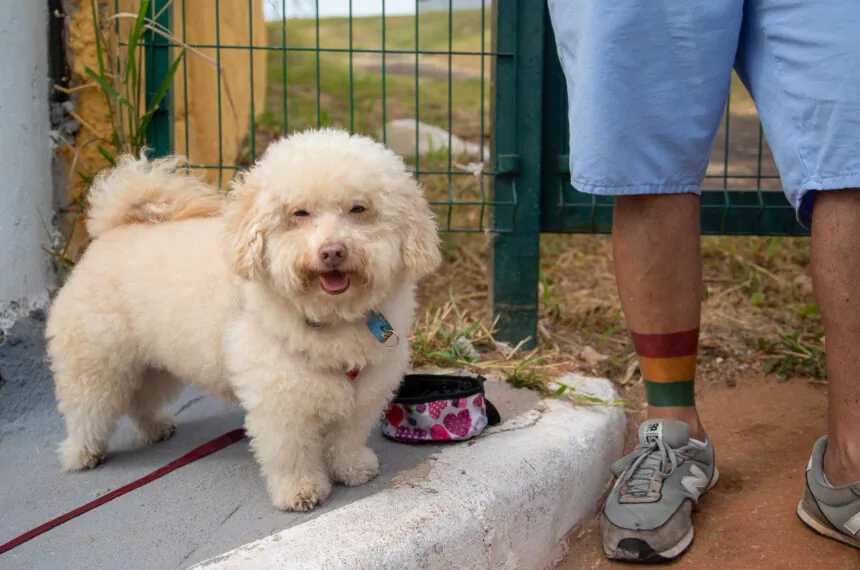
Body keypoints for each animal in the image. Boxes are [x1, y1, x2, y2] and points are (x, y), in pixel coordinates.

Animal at [47, 129, 440, 510]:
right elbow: (291, 452)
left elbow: (347, 435)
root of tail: (114, 228)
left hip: (154, 362)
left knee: (141, 398)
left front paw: (352, 467)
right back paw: (81, 453)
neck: (331, 317)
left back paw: (154, 427)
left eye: (359, 208)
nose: (332, 251)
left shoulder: (366, 387)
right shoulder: (279, 396)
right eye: (299, 213)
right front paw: (300, 490)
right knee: (87, 409)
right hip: (94, 361)